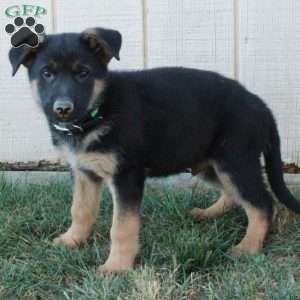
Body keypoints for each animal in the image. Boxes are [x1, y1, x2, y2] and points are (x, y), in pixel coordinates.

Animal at [8, 28, 300, 274]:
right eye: (47, 74)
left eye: (83, 74)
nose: (63, 109)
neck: (98, 112)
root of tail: (262, 107)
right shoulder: (83, 173)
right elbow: (80, 210)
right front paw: (73, 240)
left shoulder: (126, 176)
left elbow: (122, 227)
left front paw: (116, 267)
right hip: (210, 163)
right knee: (235, 195)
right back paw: (209, 213)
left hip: (235, 161)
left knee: (262, 204)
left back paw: (248, 246)